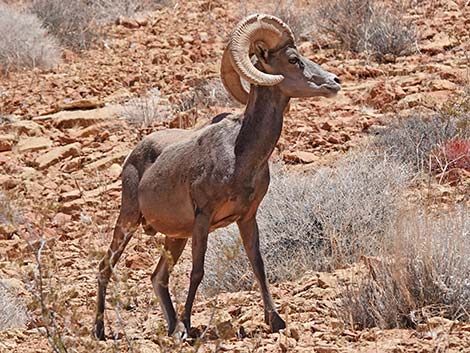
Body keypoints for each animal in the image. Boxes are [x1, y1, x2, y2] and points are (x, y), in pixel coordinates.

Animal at [93, 13, 340, 338]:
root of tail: (134, 155)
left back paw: (172, 328)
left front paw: (275, 321)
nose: (335, 82)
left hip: (175, 237)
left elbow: (257, 264)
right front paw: (188, 326)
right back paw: (102, 331)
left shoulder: (247, 218)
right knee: (105, 267)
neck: (241, 154)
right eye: (293, 59)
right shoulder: (203, 218)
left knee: (158, 277)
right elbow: (198, 272)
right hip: (129, 221)